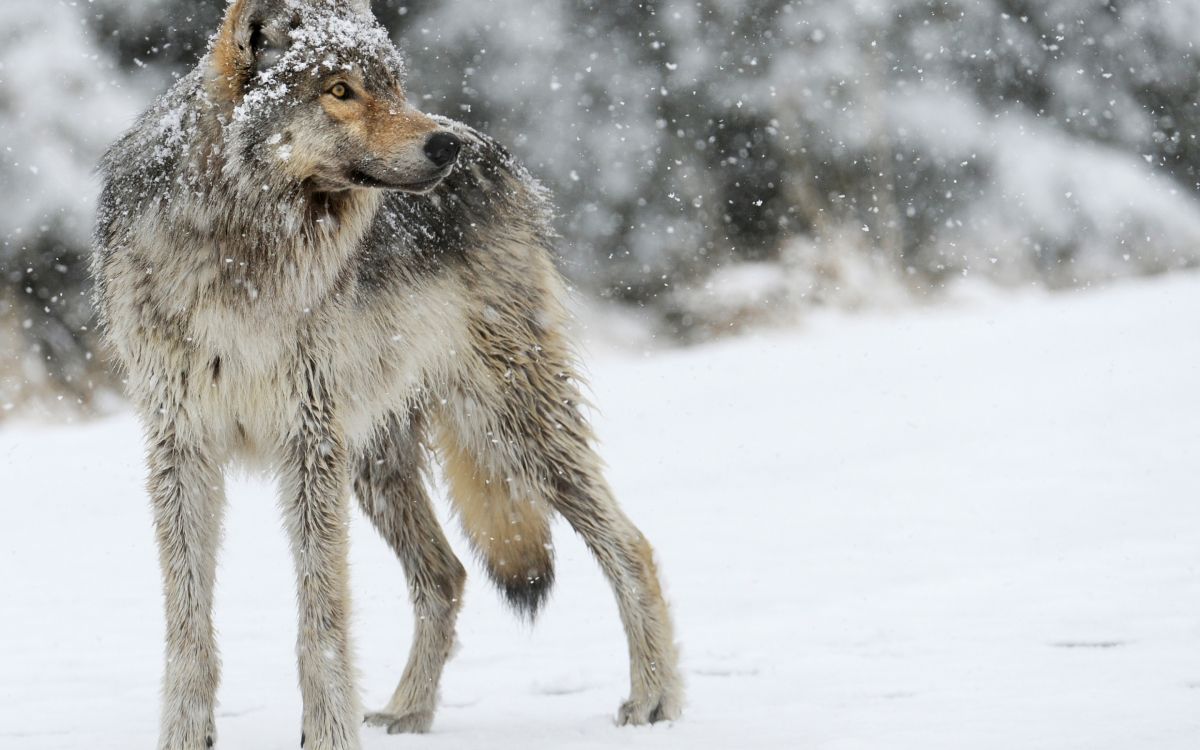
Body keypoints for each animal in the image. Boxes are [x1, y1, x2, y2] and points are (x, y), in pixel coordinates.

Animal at [91, 1, 682, 747]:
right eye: (340, 90)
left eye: (394, 86)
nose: (444, 148)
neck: (242, 251)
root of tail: (496, 152)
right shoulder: (182, 447)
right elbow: (188, 622)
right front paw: (185, 736)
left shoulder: (308, 441)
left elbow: (322, 620)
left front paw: (328, 735)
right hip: (377, 462)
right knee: (446, 574)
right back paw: (408, 712)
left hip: (510, 424)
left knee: (631, 544)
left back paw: (656, 699)